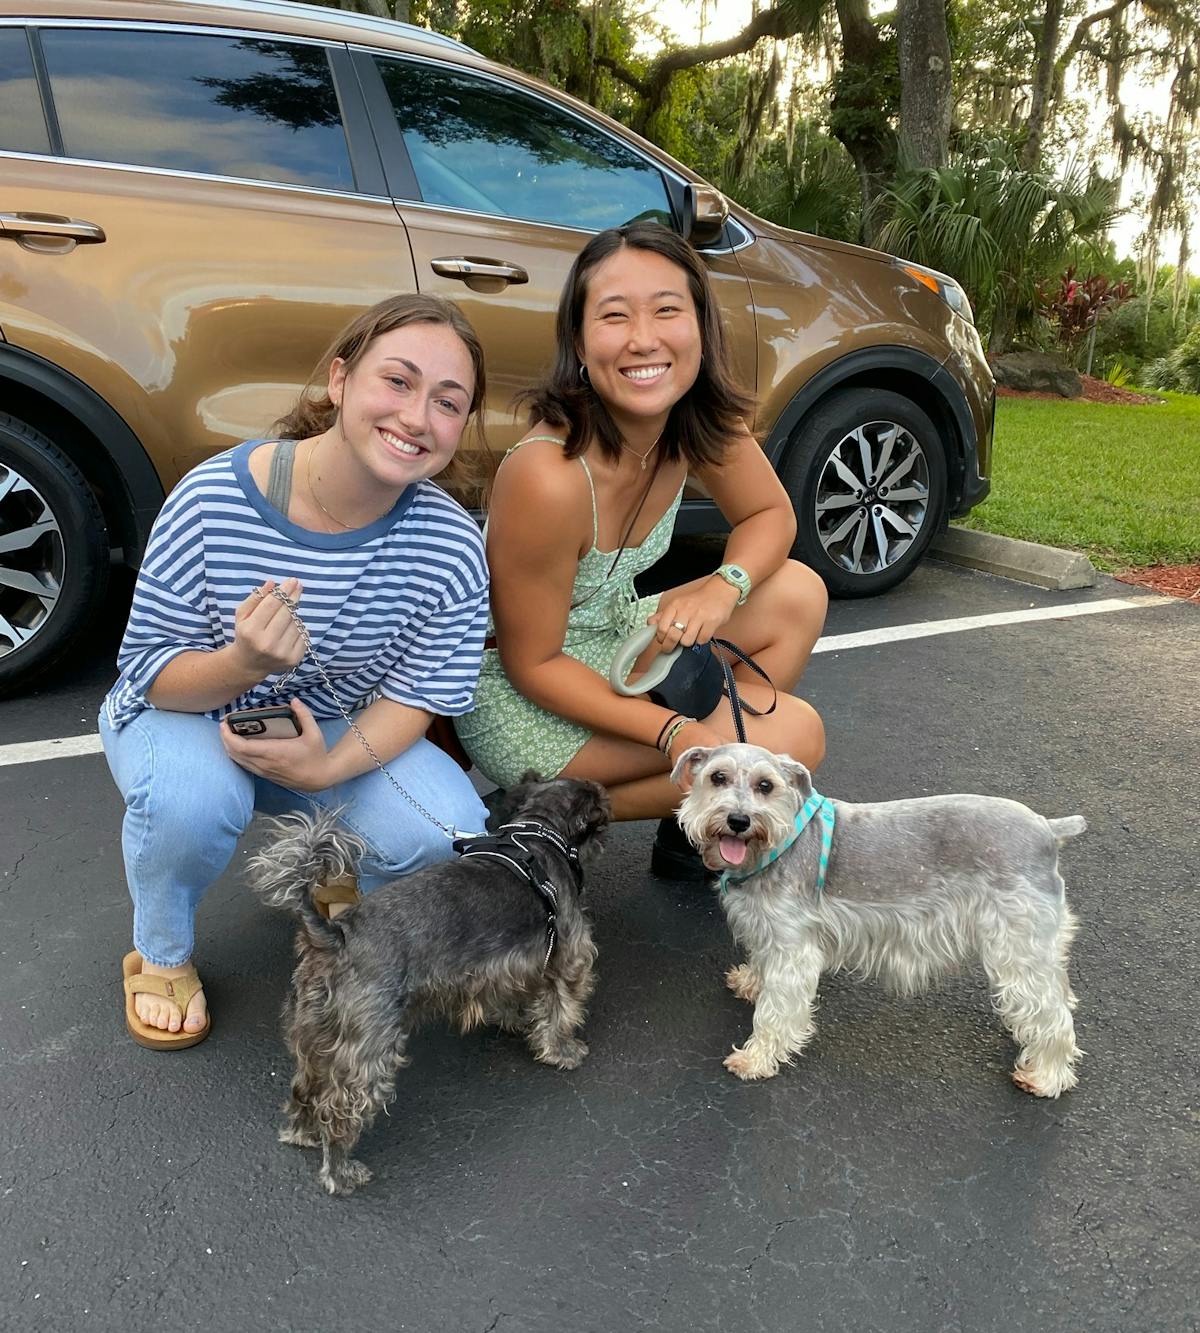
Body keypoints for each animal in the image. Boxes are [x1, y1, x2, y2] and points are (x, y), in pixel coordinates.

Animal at [250, 773, 610, 1199]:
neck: (540, 832)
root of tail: (335, 935)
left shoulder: (501, 967)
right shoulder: (569, 959)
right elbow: (561, 1011)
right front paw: (562, 1051)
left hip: (314, 1035)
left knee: (305, 1088)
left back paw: (302, 1132)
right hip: (369, 1051)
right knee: (339, 1111)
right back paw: (341, 1172)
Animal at [674, 746, 1088, 1098]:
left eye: (766, 785)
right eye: (717, 777)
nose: (738, 820)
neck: (776, 843)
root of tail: (1048, 829)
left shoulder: (793, 950)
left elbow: (775, 1012)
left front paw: (755, 1058)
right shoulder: (767, 933)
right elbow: (762, 968)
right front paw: (750, 983)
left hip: (1018, 946)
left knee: (1052, 1015)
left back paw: (1045, 1076)